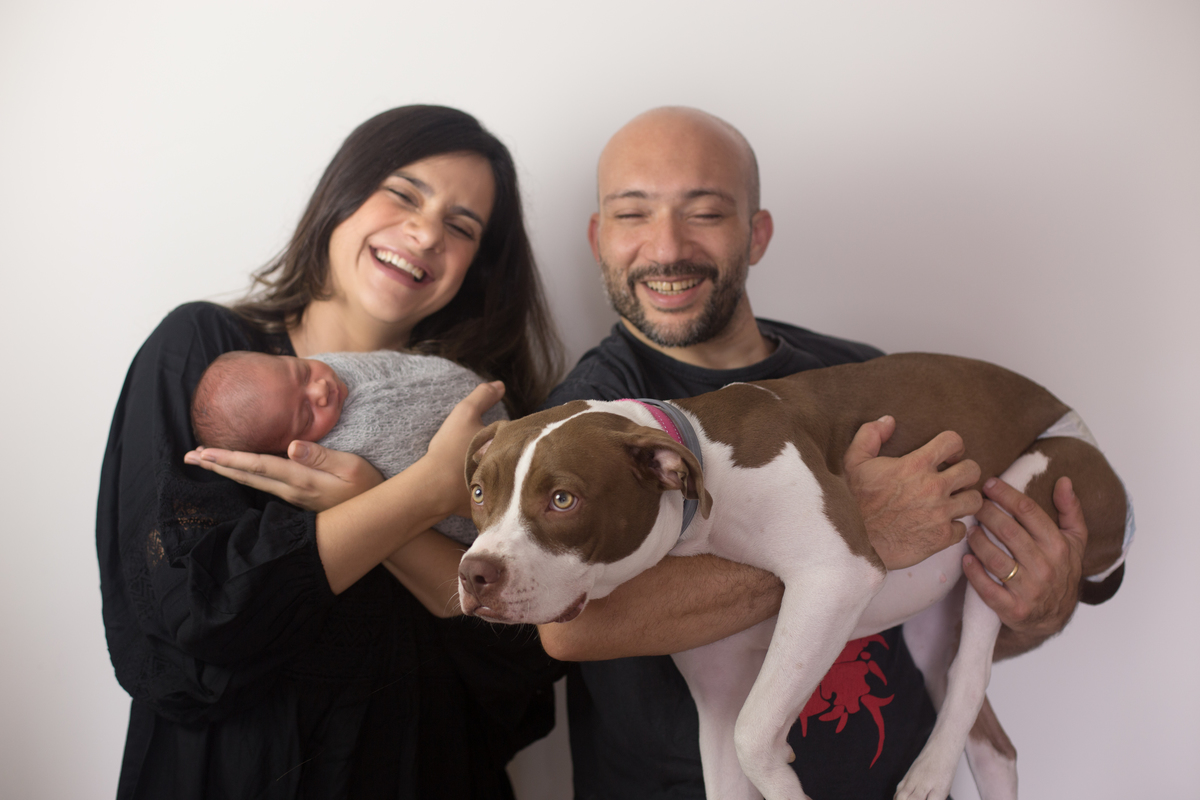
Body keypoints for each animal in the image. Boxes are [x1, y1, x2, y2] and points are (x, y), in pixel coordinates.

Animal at [457, 353, 1129, 800]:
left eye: (563, 500)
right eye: (479, 492)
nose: (473, 573)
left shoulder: (834, 575)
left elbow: (755, 733)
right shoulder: (717, 690)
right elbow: (733, 745)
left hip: (1025, 497)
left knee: (971, 672)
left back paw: (929, 774)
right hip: (934, 623)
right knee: (991, 738)